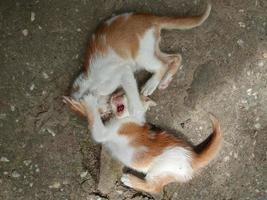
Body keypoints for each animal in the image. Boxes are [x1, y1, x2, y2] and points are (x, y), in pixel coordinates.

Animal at [66, 94, 223, 195]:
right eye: (121, 92)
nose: (115, 96)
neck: (127, 118)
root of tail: (194, 157)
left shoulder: (102, 132)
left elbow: (92, 117)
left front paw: (81, 104)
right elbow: (98, 116)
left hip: (159, 171)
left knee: (154, 188)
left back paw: (130, 180)